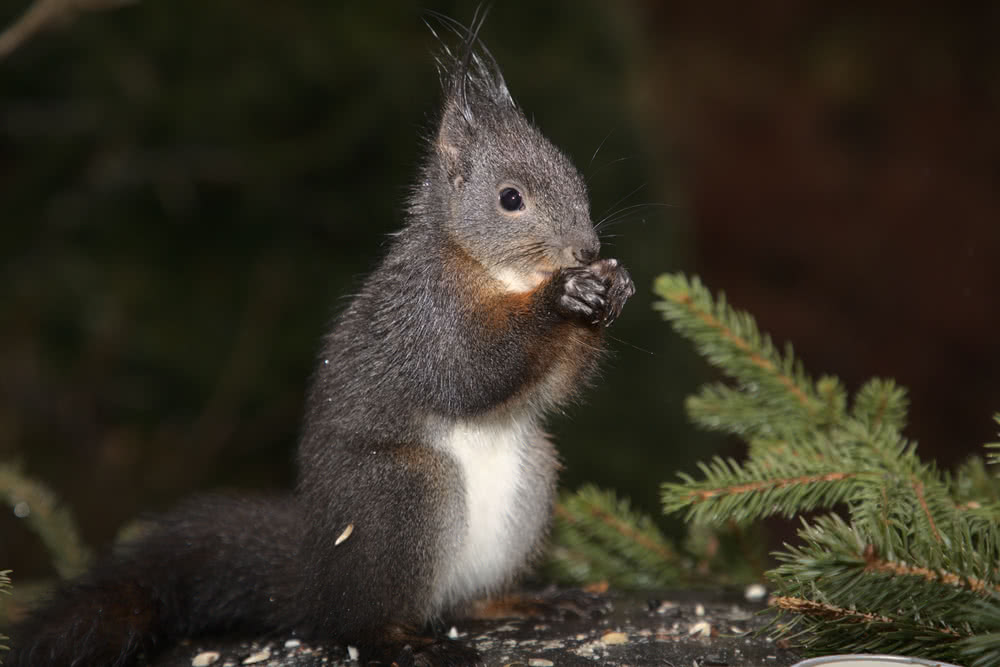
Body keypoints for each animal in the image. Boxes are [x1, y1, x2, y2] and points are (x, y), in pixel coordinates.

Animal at [7, 15, 632, 667]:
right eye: (511, 199)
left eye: (577, 181)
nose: (586, 249)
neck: (496, 272)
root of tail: (317, 578)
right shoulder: (425, 319)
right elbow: (470, 373)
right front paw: (561, 299)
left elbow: (550, 387)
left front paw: (612, 288)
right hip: (403, 496)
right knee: (355, 620)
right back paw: (399, 638)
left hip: (531, 477)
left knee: (465, 602)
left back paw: (523, 601)